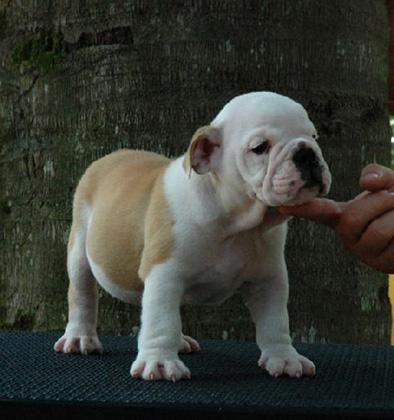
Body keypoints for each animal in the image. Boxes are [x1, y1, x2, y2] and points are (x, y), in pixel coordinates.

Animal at [54, 91, 330, 380]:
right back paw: (80, 337)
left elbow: (275, 321)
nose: (306, 152)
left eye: (313, 137)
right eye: (260, 148)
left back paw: (180, 341)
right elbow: (161, 320)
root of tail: (111, 157)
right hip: (80, 246)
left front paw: (285, 358)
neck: (236, 223)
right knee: (82, 294)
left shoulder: (268, 279)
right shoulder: (164, 273)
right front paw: (160, 363)